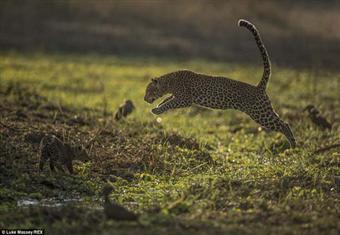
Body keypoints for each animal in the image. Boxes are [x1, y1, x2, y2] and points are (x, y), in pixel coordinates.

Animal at [145, 19, 296, 147]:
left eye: (148, 91)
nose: (145, 99)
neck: (169, 82)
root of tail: (259, 87)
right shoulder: (177, 96)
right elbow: (166, 100)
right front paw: (157, 107)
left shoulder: (185, 99)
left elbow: (169, 104)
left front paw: (156, 110)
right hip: (263, 110)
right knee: (283, 122)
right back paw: (292, 144)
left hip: (260, 112)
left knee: (284, 124)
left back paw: (292, 145)